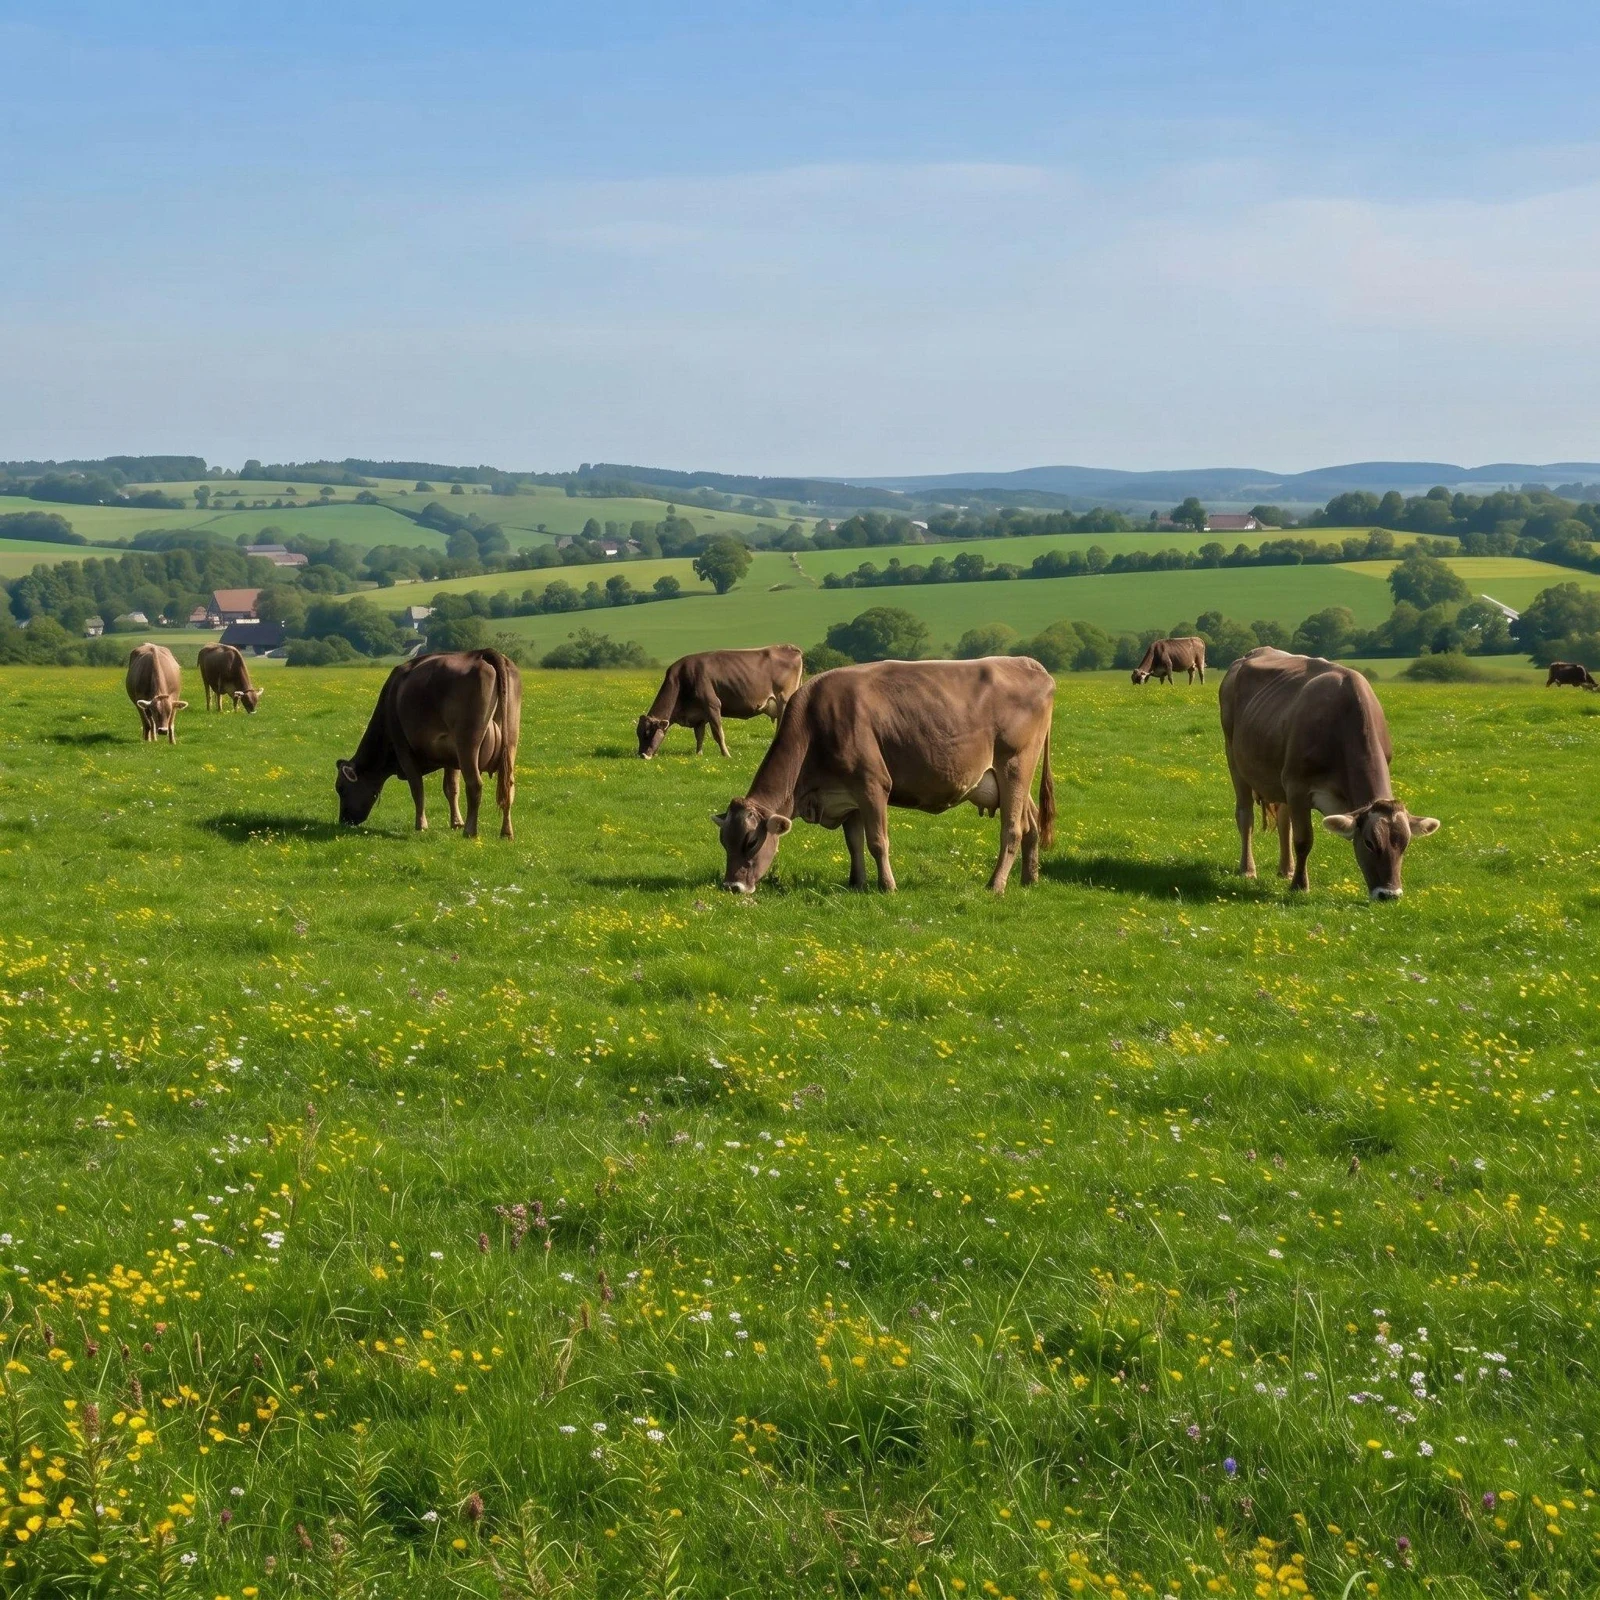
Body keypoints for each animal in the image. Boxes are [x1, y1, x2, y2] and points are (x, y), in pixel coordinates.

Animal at [336, 649, 521, 839]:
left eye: (341, 789)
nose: (343, 820)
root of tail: (481, 653)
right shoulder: (451, 757)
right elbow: (451, 788)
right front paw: (456, 822)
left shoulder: (403, 749)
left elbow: (417, 788)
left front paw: (421, 824)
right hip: (510, 739)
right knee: (508, 785)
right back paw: (506, 832)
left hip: (468, 743)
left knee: (475, 784)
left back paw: (470, 831)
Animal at [636, 644, 805, 758]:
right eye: (638, 734)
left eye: (647, 733)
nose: (642, 755)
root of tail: (788, 647)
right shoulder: (699, 716)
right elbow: (699, 735)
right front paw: (698, 754)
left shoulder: (712, 705)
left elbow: (718, 733)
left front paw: (726, 755)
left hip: (784, 700)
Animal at [711, 656, 1055, 895]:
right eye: (724, 841)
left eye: (751, 841)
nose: (732, 887)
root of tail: (1029, 664)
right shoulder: (846, 797)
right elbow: (854, 843)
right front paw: (857, 882)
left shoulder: (872, 785)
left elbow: (877, 841)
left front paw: (887, 886)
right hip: (1010, 779)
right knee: (1031, 823)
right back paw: (1030, 879)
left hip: (1015, 766)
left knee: (1013, 829)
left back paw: (996, 885)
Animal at [1220, 647, 1439, 900]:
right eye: (1369, 843)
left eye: (1404, 844)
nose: (1389, 894)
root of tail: (1253, 653)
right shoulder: (1297, 787)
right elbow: (1303, 840)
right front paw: (1299, 886)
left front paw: (1294, 878)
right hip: (1235, 760)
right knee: (1245, 816)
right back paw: (1248, 869)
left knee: (1284, 821)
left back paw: (1286, 869)